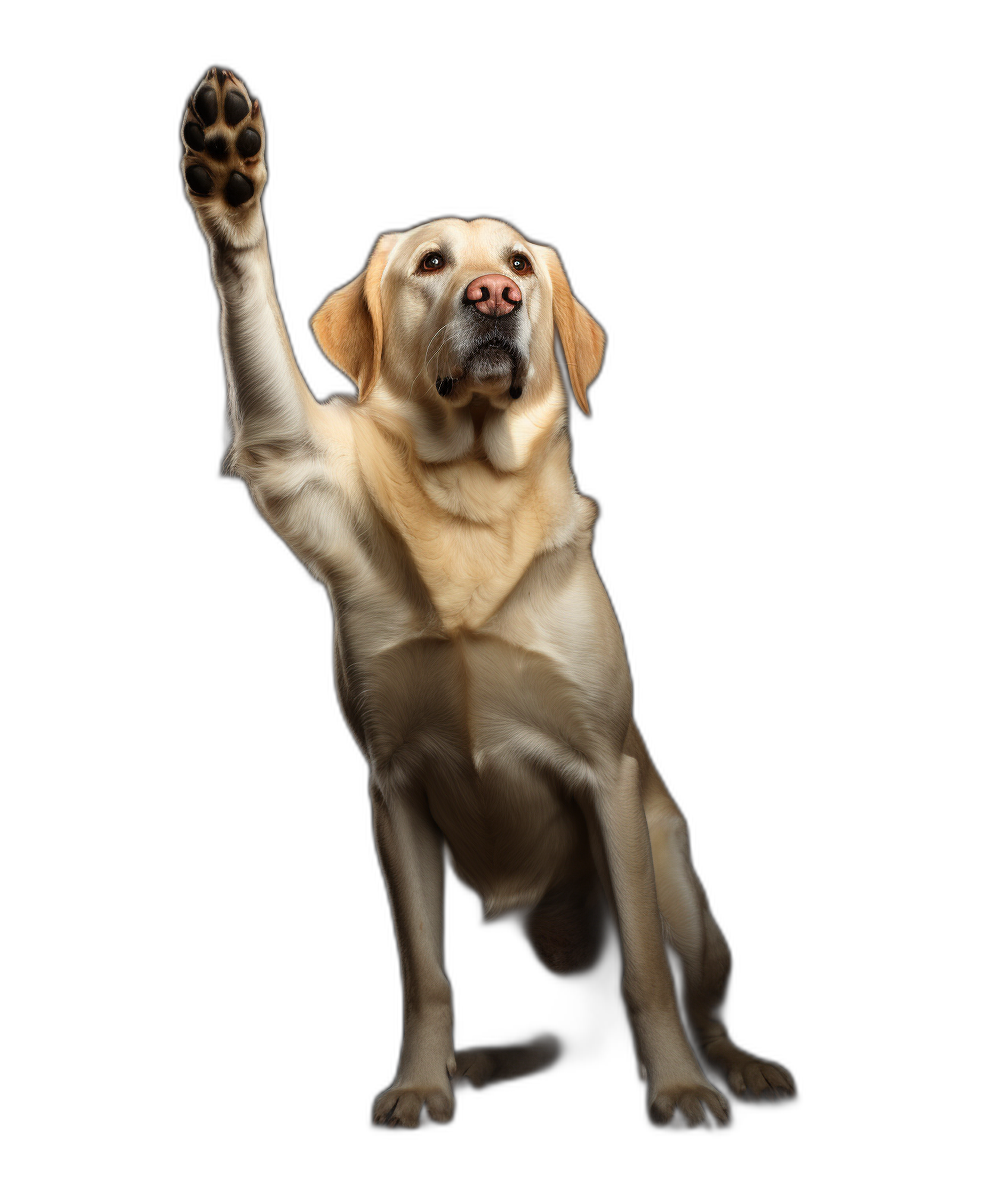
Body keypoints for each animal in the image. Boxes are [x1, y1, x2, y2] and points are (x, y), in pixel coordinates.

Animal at [181, 71, 795, 1127]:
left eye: (519, 264)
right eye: (431, 262)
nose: (496, 296)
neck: (470, 492)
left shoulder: (606, 779)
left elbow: (645, 973)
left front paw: (677, 1084)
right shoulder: (391, 795)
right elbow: (425, 978)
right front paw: (227, 174)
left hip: (679, 884)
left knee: (680, 987)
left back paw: (734, 1065)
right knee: (560, 1024)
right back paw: (488, 1060)